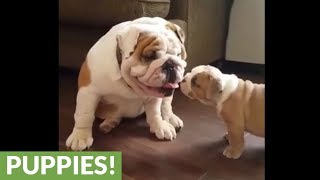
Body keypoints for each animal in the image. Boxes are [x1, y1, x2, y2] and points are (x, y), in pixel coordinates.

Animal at [67, 17, 188, 151]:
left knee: (166, 105)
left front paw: (160, 126)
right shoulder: (88, 91)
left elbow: (155, 112)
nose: (170, 64)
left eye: (178, 54)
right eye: (150, 56)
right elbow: (85, 115)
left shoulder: (154, 97)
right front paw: (80, 136)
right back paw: (109, 123)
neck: (127, 82)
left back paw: (171, 118)